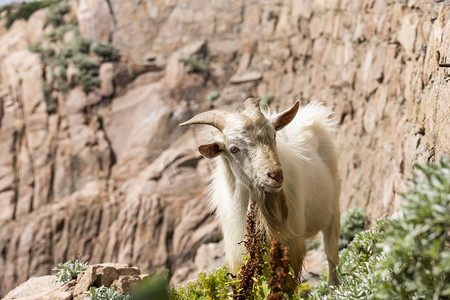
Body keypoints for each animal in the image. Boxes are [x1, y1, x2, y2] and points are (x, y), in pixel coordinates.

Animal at [181, 98, 340, 286]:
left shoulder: (291, 249)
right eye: (233, 149)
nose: (275, 176)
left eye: (274, 135)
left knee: (331, 257)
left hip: (334, 209)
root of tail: (313, 115)